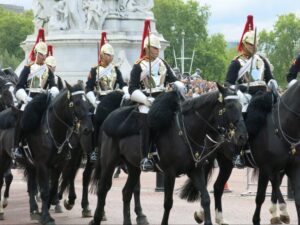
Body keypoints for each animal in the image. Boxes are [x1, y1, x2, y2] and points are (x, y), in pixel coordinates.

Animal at [19, 82, 92, 225]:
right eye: (75, 103)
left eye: (88, 102)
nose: (88, 129)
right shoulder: (42, 165)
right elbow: (45, 190)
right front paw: (46, 216)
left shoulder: (59, 164)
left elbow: (52, 188)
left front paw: (46, 210)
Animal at [89, 84, 248, 225]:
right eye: (229, 106)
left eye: (241, 107)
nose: (242, 137)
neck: (185, 131)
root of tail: (109, 117)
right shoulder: (169, 173)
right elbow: (168, 203)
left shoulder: (195, 170)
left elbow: (206, 198)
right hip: (109, 162)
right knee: (102, 189)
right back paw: (96, 218)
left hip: (133, 167)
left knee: (126, 192)